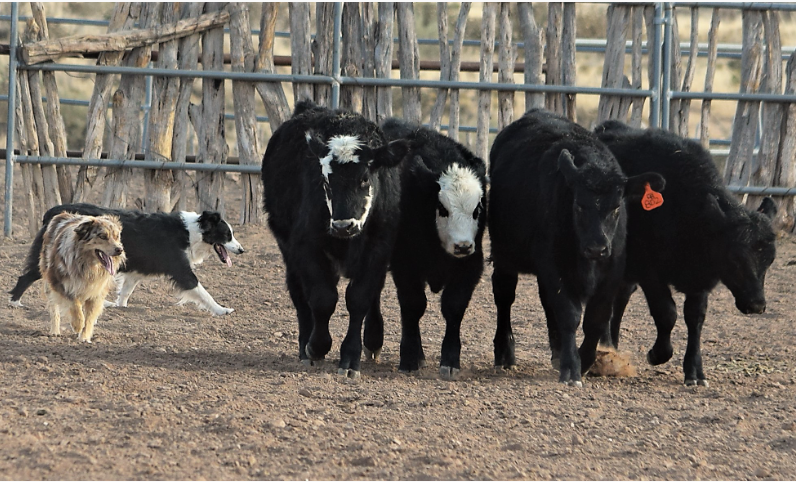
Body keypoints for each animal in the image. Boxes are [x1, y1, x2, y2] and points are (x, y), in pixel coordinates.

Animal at [261, 101, 409, 378]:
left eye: (364, 178)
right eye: (326, 181)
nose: (343, 225)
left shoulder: (378, 248)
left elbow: (360, 298)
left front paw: (351, 358)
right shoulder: (306, 248)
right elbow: (322, 299)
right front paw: (316, 347)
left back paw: (373, 341)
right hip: (289, 252)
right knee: (300, 295)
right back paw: (304, 347)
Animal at [376, 118, 487, 380]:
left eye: (477, 208)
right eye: (442, 208)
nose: (463, 245)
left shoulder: (471, 266)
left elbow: (454, 307)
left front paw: (450, 360)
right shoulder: (405, 266)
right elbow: (413, 305)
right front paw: (409, 358)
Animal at [488, 109, 664, 386]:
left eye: (616, 207)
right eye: (579, 205)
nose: (597, 248)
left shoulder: (612, 271)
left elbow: (596, 318)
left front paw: (586, 360)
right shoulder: (553, 264)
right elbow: (569, 313)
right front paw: (571, 367)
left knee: (546, 301)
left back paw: (557, 350)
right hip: (504, 253)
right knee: (504, 295)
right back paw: (505, 351)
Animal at [594, 120, 777, 387]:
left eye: (770, 260)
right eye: (735, 257)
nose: (756, 304)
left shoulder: (700, 281)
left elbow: (695, 318)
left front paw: (694, 371)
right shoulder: (650, 271)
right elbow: (667, 312)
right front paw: (658, 353)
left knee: (620, 299)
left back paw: (611, 347)